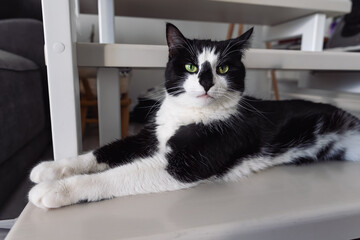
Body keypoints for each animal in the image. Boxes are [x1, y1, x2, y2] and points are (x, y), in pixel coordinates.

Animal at [29, 23, 360, 209]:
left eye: (223, 68)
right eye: (190, 66)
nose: (206, 82)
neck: (189, 114)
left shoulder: (188, 162)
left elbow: (117, 175)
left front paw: (55, 190)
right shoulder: (151, 135)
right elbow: (104, 151)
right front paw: (50, 169)